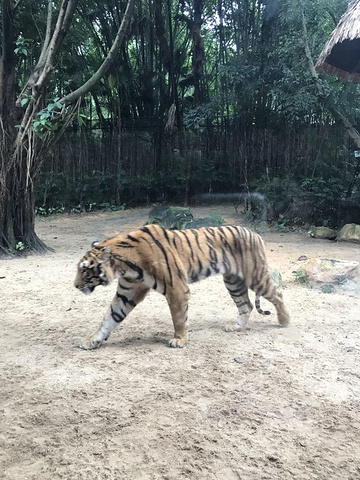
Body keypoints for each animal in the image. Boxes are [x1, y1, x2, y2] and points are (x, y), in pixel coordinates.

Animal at [75, 223, 290, 350]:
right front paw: (91, 340)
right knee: (246, 305)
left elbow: (179, 317)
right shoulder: (127, 293)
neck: (124, 266)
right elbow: (109, 317)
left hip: (255, 275)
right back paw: (235, 327)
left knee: (277, 294)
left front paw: (179, 340)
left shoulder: (176, 288)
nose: (75, 286)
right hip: (233, 281)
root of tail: (255, 233)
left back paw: (284, 321)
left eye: (85, 270)